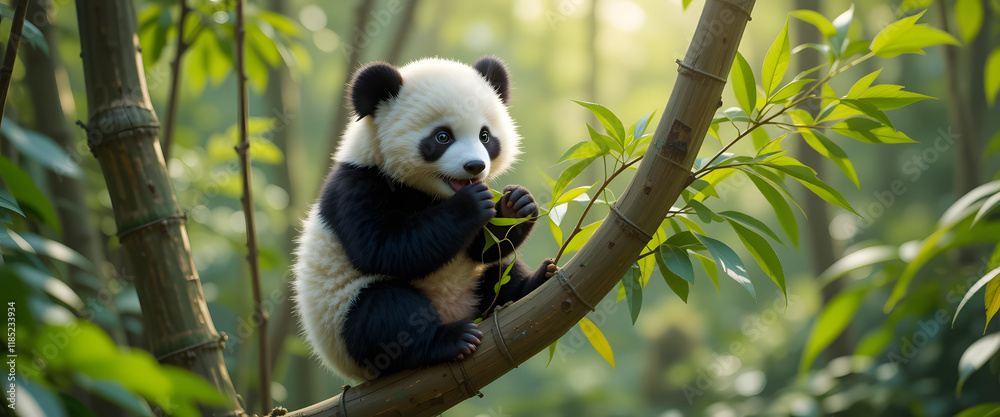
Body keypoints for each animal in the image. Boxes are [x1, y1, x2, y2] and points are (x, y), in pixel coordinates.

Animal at [293, 56, 556, 381]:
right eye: (442, 137)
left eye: (485, 136)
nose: (475, 166)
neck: (428, 193)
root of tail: (459, 311)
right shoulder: (358, 186)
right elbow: (385, 248)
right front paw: (470, 205)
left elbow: (481, 249)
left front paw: (515, 205)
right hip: (343, 319)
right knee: (386, 314)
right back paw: (448, 340)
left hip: (474, 283)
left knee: (501, 272)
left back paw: (534, 282)